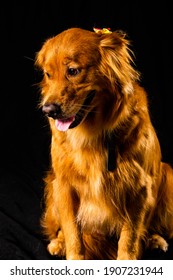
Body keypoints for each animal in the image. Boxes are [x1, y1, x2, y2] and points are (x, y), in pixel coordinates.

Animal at [35, 27, 173, 260]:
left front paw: (127, 259)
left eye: (73, 71)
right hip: (52, 186)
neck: (93, 132)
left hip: (168, 175)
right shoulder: (64, 184)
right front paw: (73, 255)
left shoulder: (138, 188)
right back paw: (58, 243)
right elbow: (73, 232)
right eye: (48, 74)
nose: (48, 110)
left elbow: (130, 236)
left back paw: (155, 239)